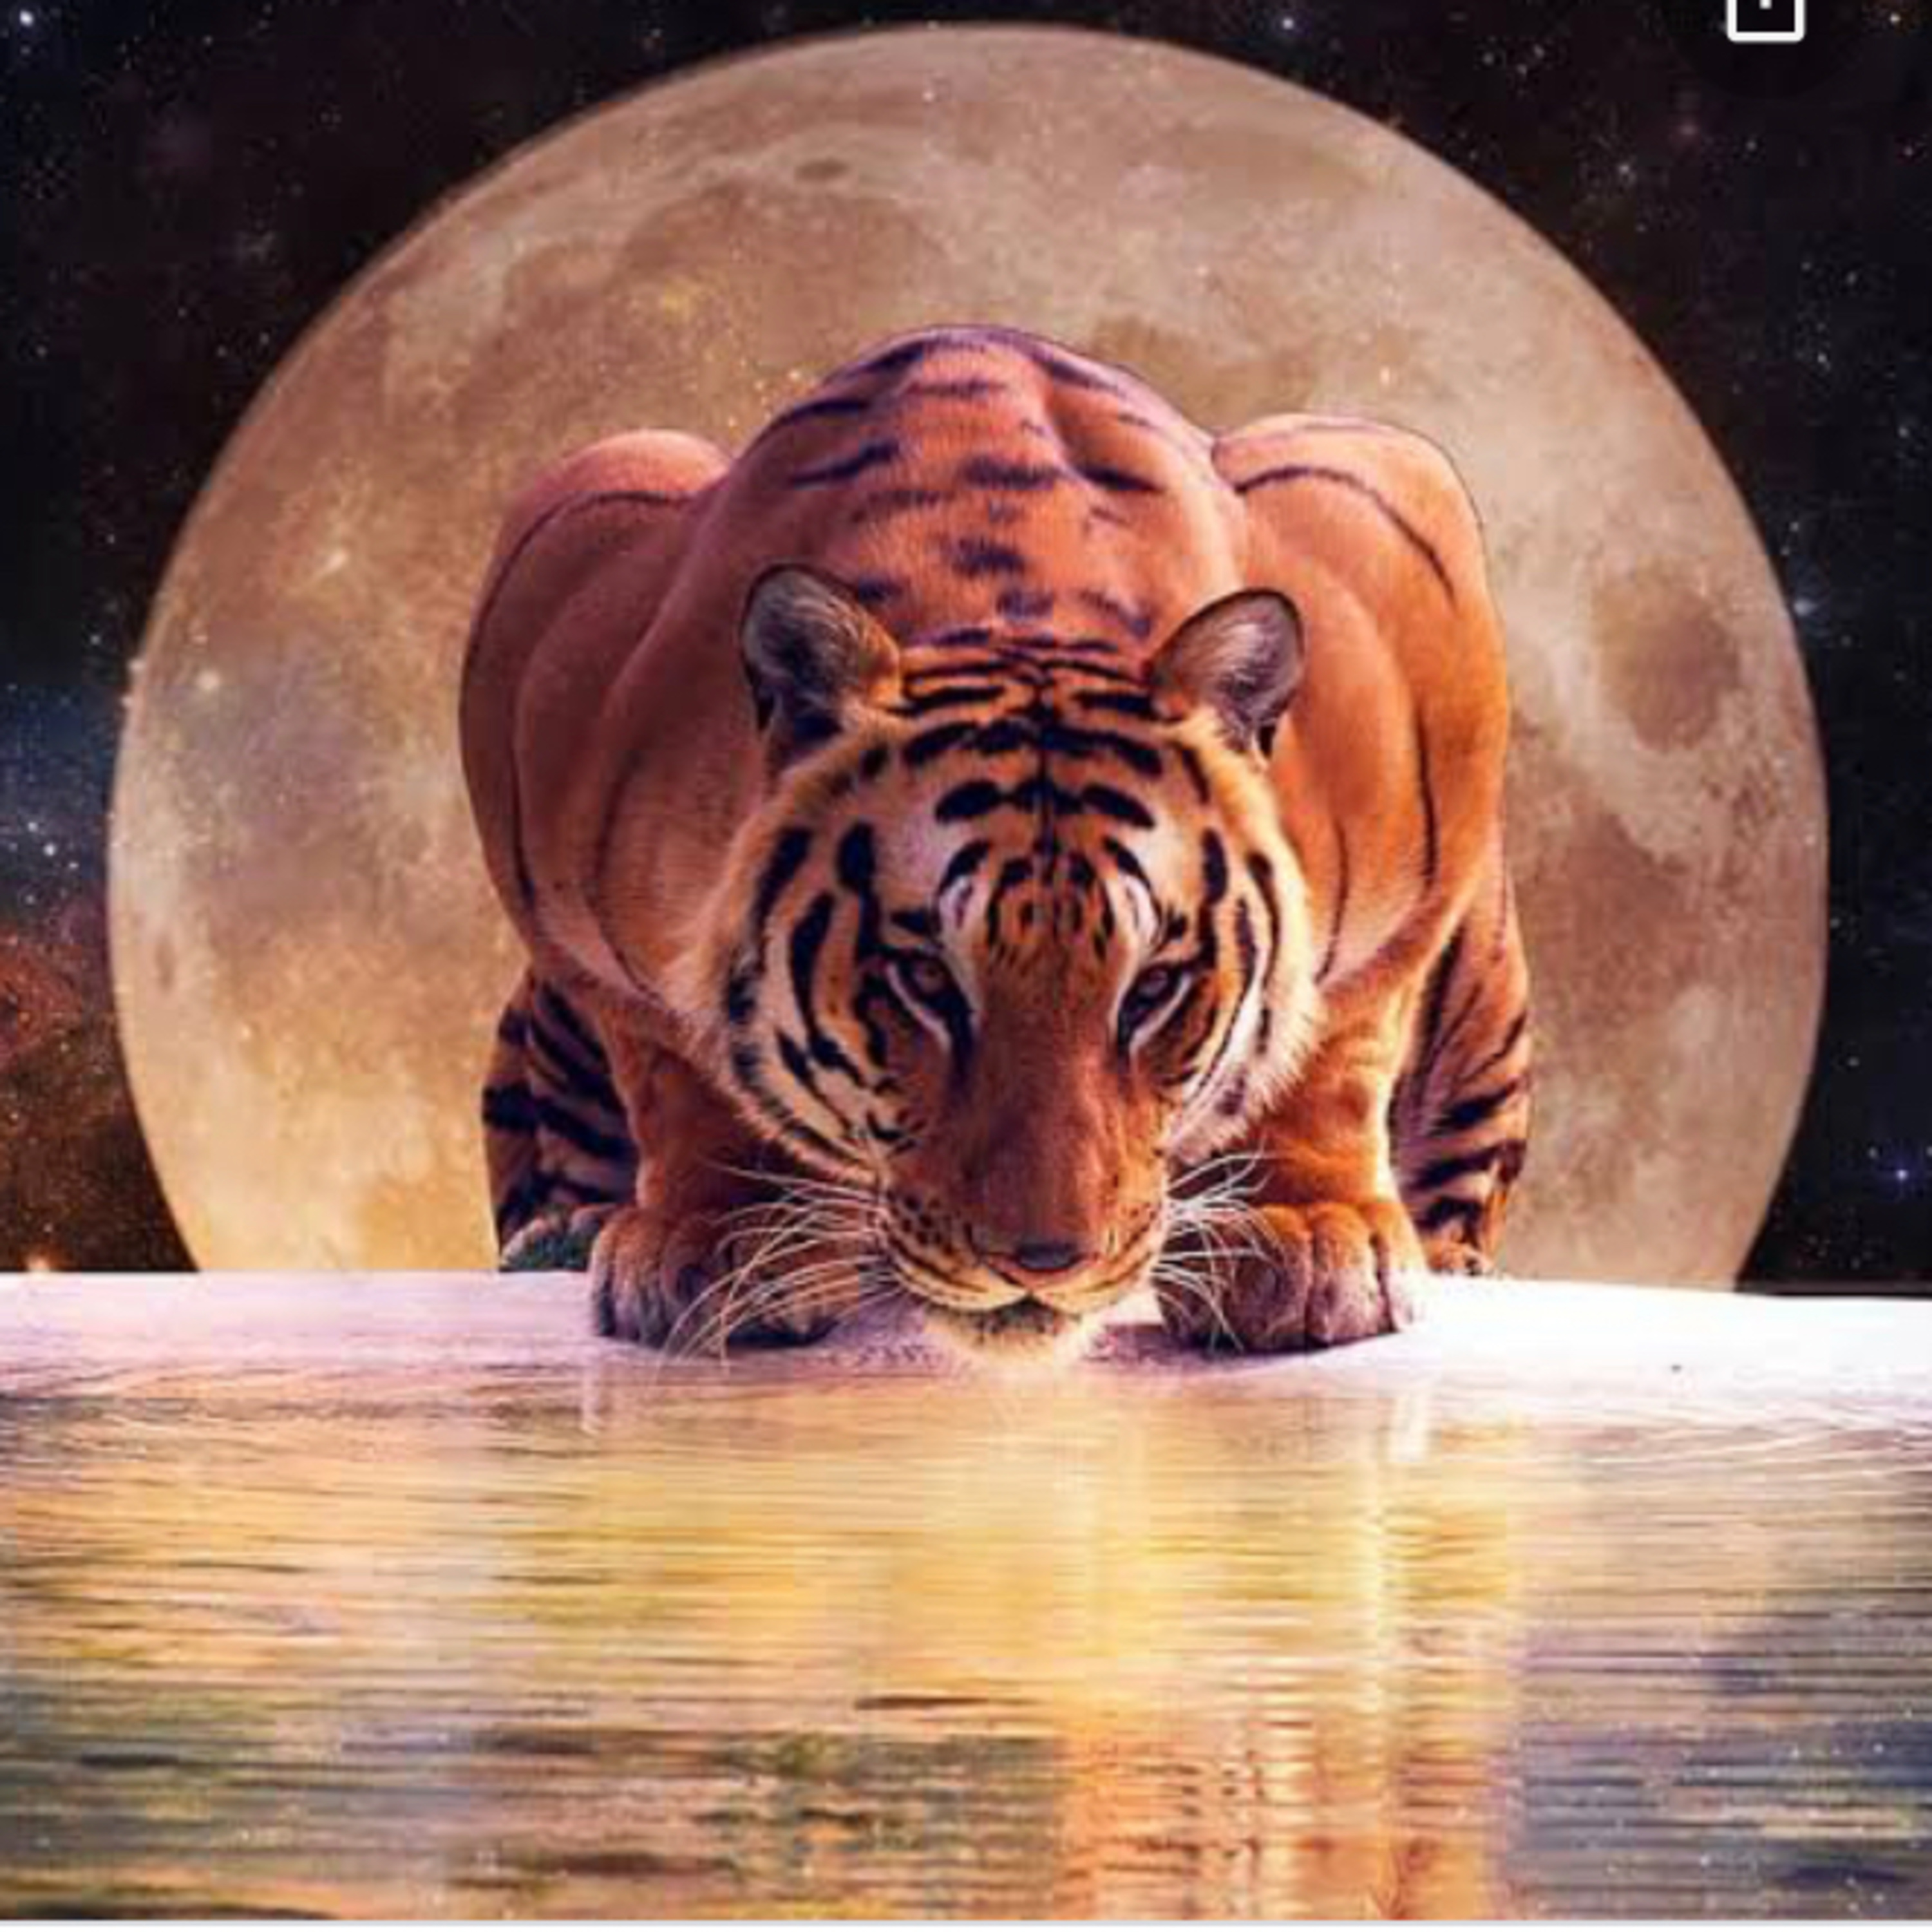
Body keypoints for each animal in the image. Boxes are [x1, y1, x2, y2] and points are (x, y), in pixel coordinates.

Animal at [460, 324, 1531, 1358]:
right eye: (925, 981)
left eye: (1153, 989)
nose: (1044, 1262)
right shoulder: (564, 590)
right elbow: (674, 1060)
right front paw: (723, 1240)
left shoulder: (1397, 535)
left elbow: (1338, 1036)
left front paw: (1306, 1236)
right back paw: (563, 1235)